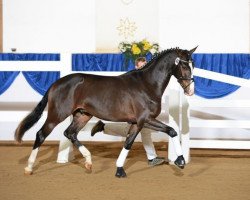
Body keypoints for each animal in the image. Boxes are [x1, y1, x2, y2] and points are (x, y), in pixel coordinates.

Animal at [14, 46, 197, 177]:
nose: (190, 90)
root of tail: (55, 83)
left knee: (70, 133)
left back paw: (88, 162)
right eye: (184, 64)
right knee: (41, 134)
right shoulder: (144, 119)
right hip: (56, 115)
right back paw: (29, 168)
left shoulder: (136, 122)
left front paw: (119, 170)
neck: (146, 85)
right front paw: (180, 161)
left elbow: (128, 142)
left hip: (82, 115)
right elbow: (171, 131)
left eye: (193, 64)